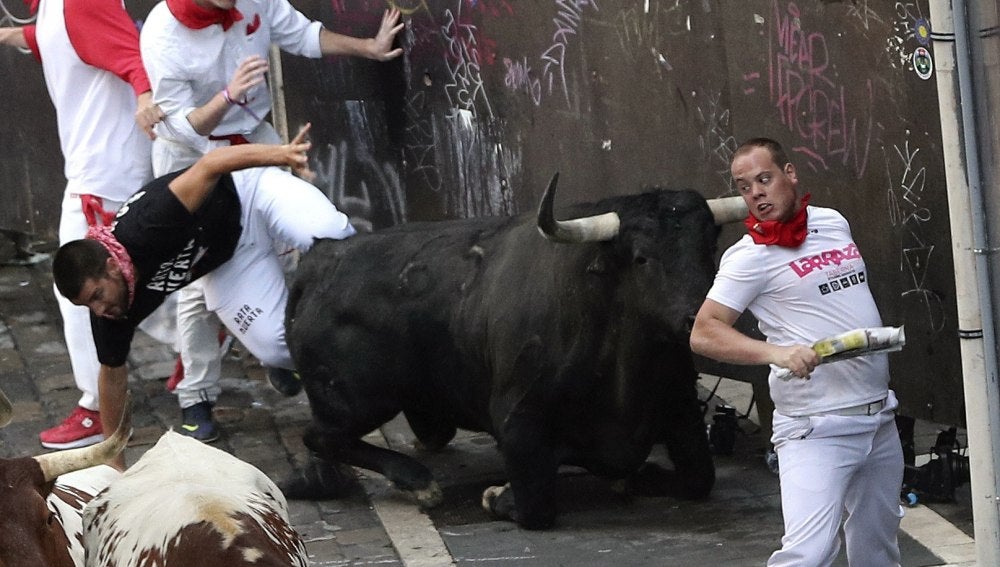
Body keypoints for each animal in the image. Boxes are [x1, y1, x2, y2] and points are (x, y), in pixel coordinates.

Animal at [286, 175, 748, 532]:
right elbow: (536, 506)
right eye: (641, 258)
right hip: (359, 398)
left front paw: (638, 477)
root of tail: (321, 258)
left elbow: (699, 477)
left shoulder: (682, 409)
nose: (698, 318)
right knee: (321, 435)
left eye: (708, 248)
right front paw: (498, 495)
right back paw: (416, 480)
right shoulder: (518, 419)